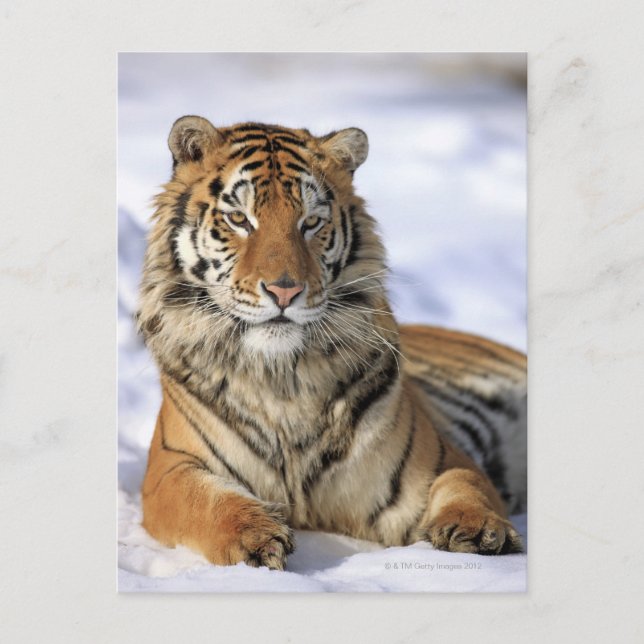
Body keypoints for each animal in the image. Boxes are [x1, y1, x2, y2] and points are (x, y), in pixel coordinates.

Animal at [136, 115, 527, 570]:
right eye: (239, 219)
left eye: (310, 222)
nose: (284, 291)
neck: (282, 380)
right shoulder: (170, 468)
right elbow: (205, 501)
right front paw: (255, 537)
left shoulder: (438, 461)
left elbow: (465, 482)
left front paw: (478, 529)